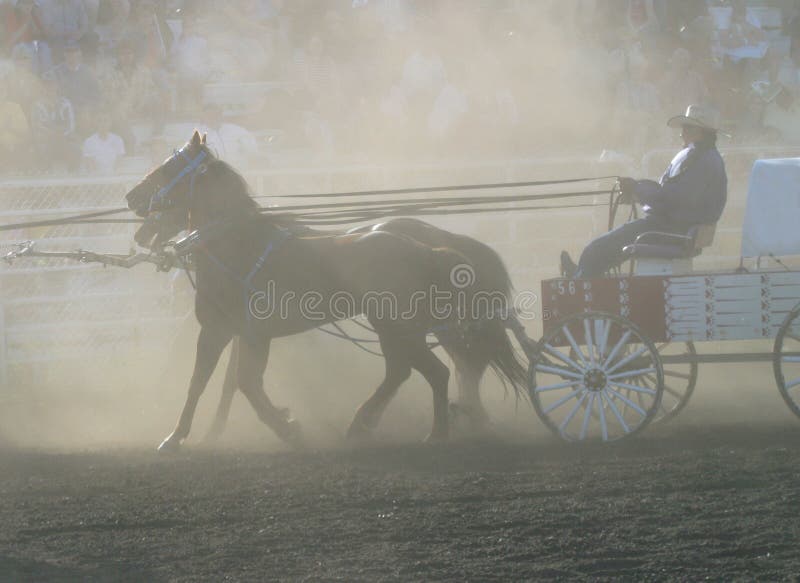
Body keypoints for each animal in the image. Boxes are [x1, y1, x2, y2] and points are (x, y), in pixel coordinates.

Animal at [125, 133, 528, 452]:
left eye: (168, 167)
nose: (131, 196)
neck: (238, 247)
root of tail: (429, 248)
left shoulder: (221, 331)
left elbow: (212, 383)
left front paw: (177, 438)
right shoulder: (246, 335)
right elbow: (238, 383)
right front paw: (282, 424)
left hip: (400, 329)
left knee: (437, 372)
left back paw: (436, 432)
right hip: (395, 331)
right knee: (411, 371)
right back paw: (369, 423)